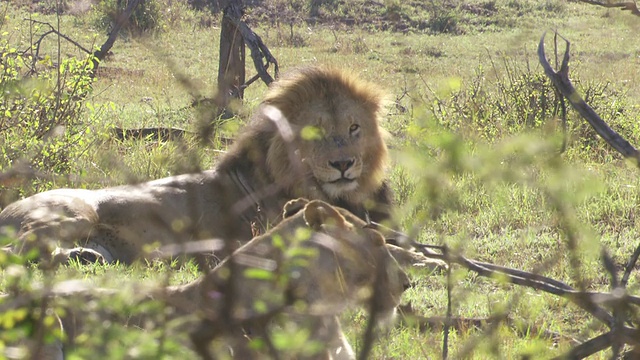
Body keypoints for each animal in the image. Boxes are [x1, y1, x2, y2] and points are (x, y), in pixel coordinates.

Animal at [0, 66, 390, 264]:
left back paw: (82, 256)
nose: (343, 164)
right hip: (73, 214)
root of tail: (7, 208)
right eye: (315, 131)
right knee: (13, 252)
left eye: (354, 128)